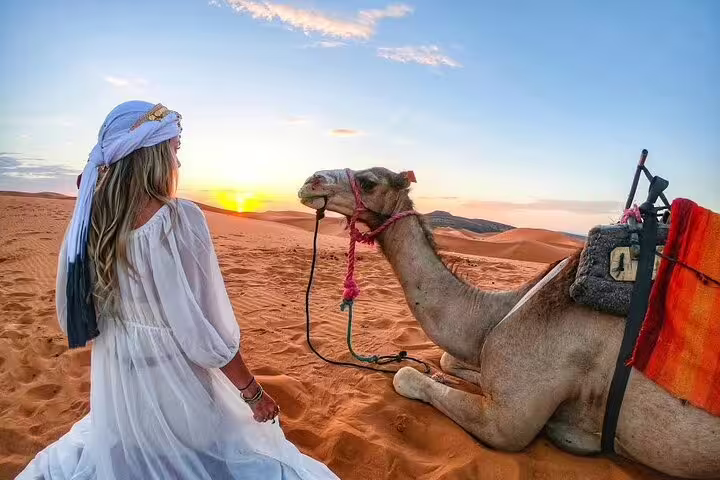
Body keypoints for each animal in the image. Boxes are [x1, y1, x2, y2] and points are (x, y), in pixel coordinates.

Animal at [297, 167, 720, 479]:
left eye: (368, 181)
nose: (310, 180)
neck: (503, 308)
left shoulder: (506, 424)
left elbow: (406, 376)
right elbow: (450, 360)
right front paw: (448, 373)